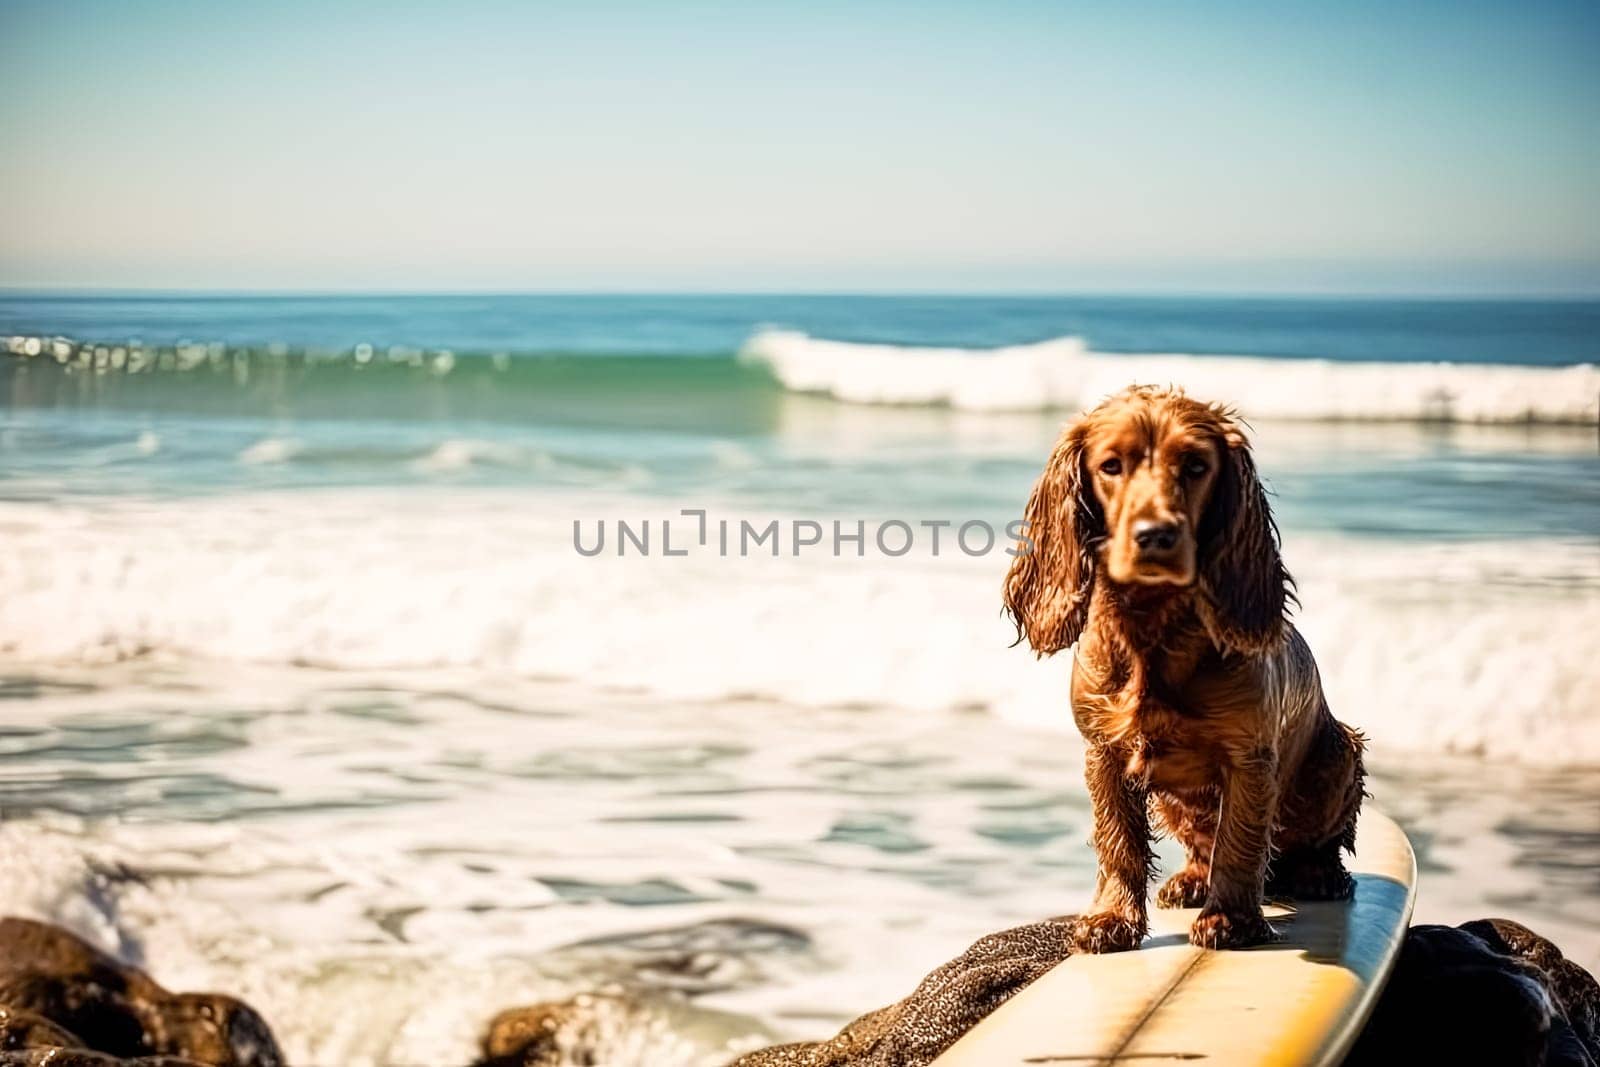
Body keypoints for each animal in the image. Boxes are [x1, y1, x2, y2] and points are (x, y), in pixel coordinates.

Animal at [998, 383, 1363, 953]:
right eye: (1111, 465)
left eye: (1194, 465)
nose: (1156, 536)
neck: (1152, 632)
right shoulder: (1104, 752)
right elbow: (1118, 841)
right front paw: (1112, 917)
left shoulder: (1249, 757)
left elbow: (1238, 842)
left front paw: (1231, 919)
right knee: (1198, 844)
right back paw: (1192, 879)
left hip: (1340, 752)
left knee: (1314, 841)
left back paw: (1317, 873)